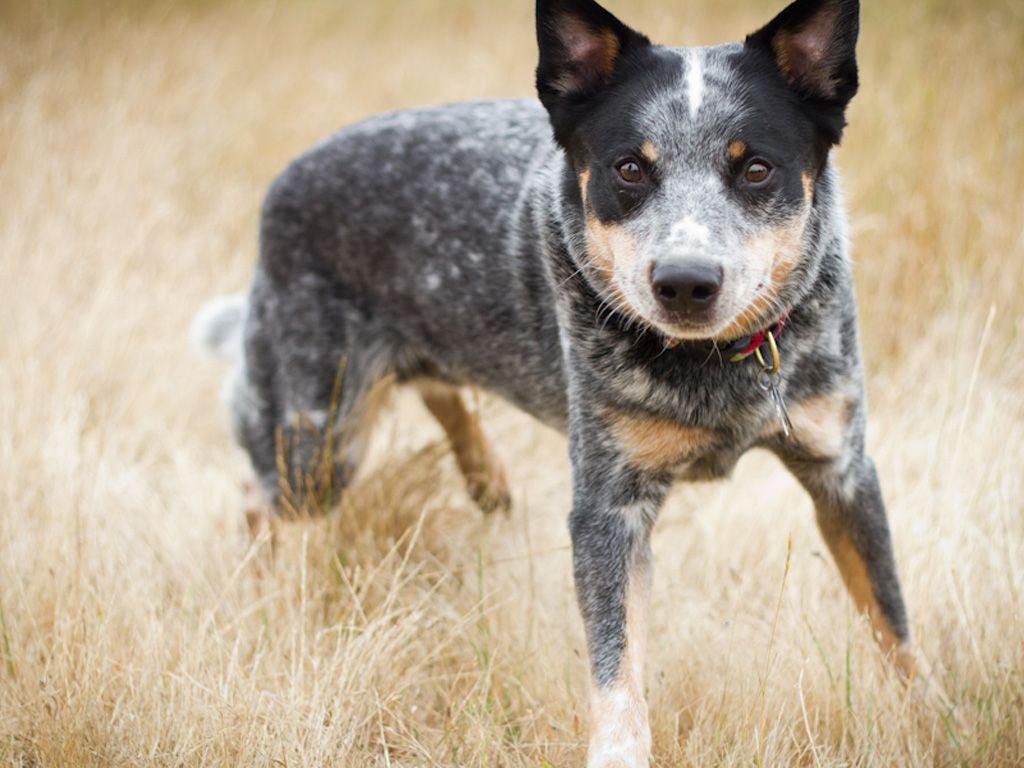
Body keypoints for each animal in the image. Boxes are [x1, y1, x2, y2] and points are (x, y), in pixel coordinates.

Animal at [193, 0, 921, 765]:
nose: (685, 281)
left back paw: (485, 475)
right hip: (317, 439)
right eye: (629, 168)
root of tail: (284, 181)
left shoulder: (842, 469)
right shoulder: (608, 508)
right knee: (258, 493)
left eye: (755, 168)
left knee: (434, 384)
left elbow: (893, 623)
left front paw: (930, 720)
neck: (716, 367)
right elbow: (616, 665)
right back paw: (262, 595)